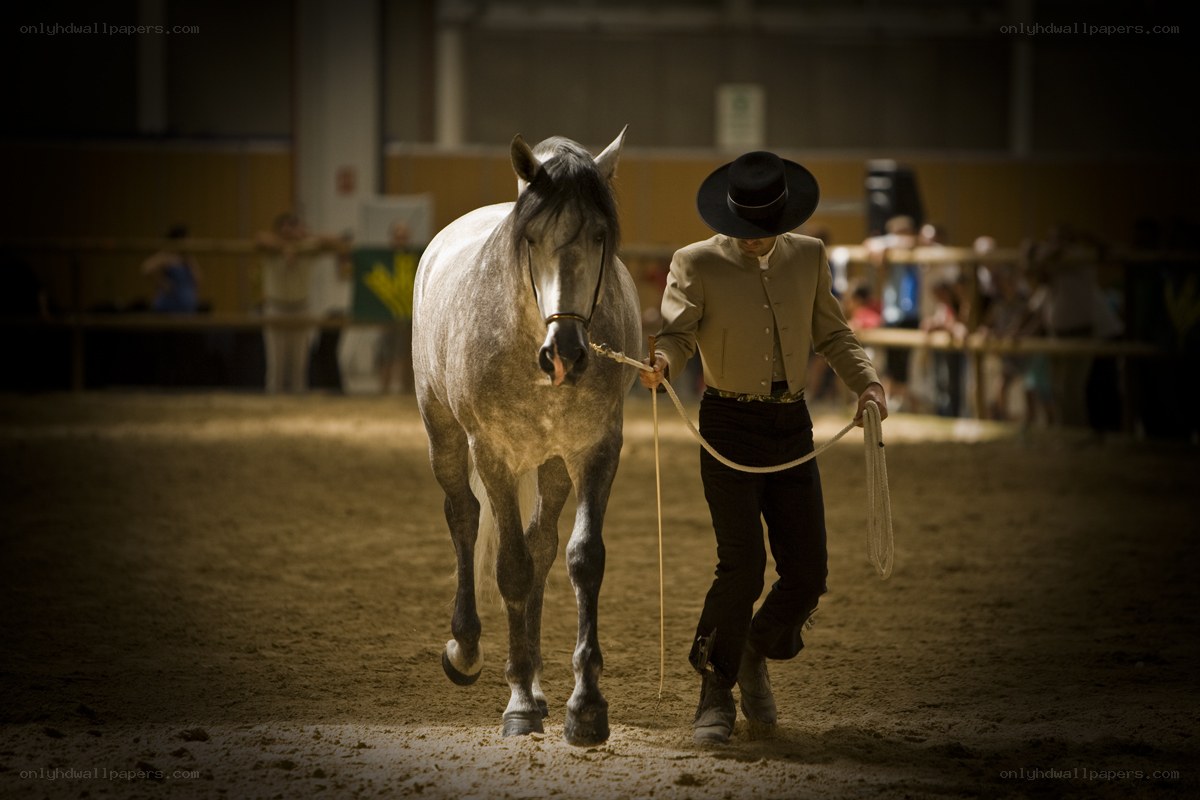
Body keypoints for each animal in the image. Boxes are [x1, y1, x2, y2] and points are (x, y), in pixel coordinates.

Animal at [411, 128, 641, 746]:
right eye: (532, 239)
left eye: (600, 235)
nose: (565, 354)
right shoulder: (493, 453)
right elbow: (510, 566)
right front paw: (516, 702)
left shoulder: (596, 452)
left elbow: (582, 560)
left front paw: (585, 706)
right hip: (445, 435)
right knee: (464, 518)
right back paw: (466, 650)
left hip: (553, 465)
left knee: (541, 547)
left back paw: (537, 687)